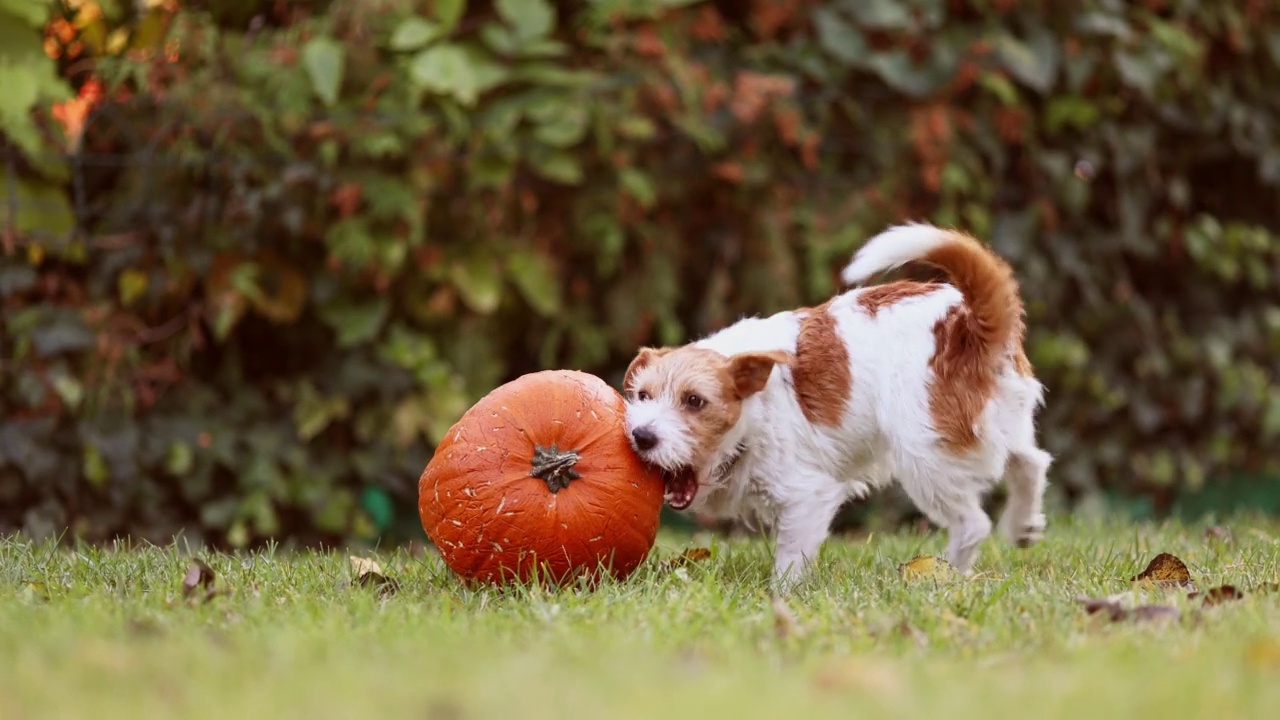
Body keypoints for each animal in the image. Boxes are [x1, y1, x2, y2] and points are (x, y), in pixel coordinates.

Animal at [619, 222, 1049, 589]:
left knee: (974, 522)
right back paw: (1022, 525)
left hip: (926, 457)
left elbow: (791, 557)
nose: (642, 436)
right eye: (642, 395)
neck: (754, 411)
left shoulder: (808, 495)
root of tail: (968, 324)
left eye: (695, 401)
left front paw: (781, 596)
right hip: (998, 422)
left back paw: (944, 576)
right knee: (1030, 461)